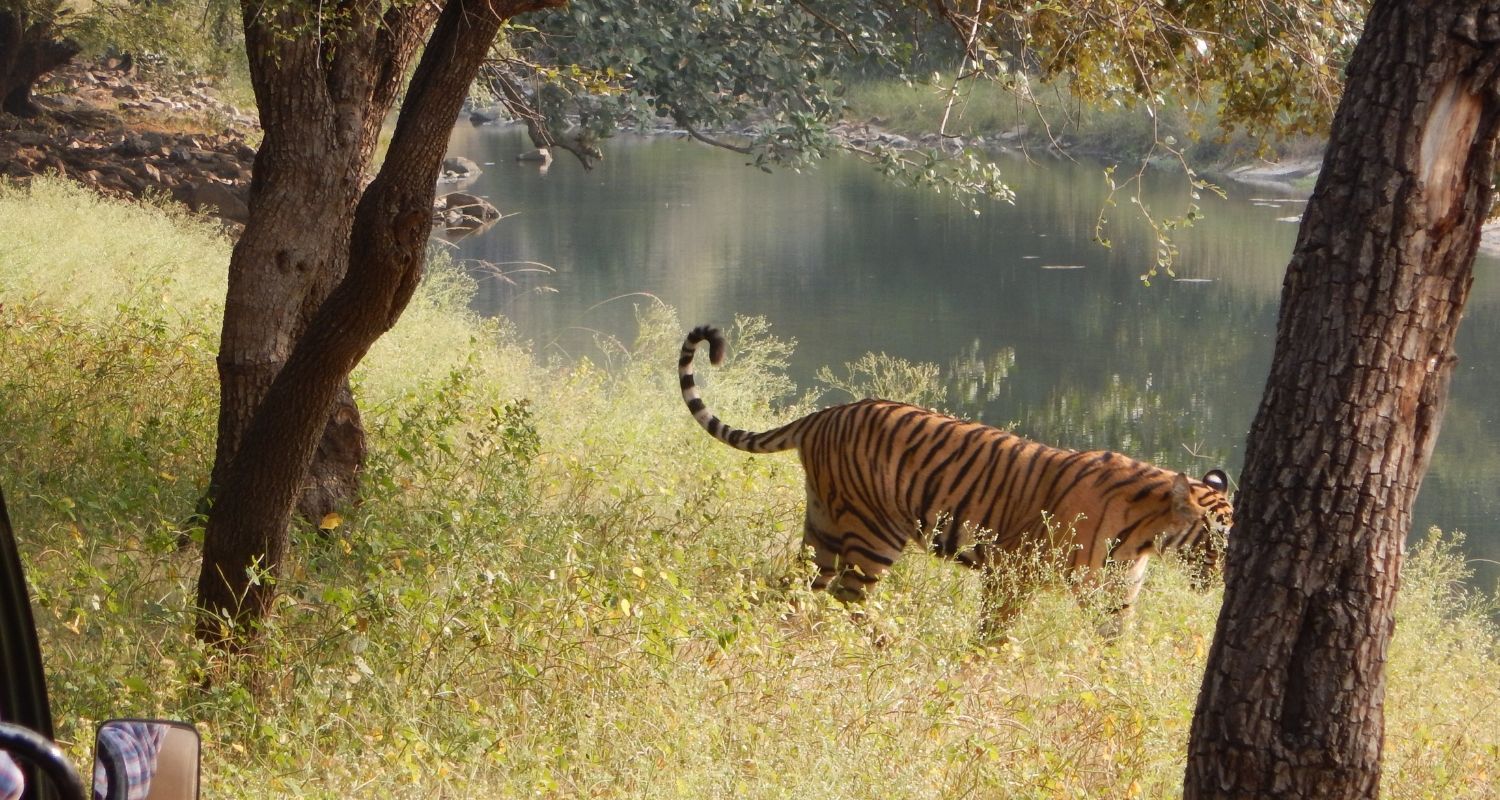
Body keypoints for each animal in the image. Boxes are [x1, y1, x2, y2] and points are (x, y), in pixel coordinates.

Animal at [679, 324, 1233, 627]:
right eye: (1217, 538)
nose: (1225, 580)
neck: (1146, 537)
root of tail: (824, 414)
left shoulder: (1117, 597)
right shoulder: (1013, 570)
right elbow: (995, 631)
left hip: (824, 523)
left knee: (801, 583)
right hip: (875, 531)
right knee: (848, 596)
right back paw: (880, 644)